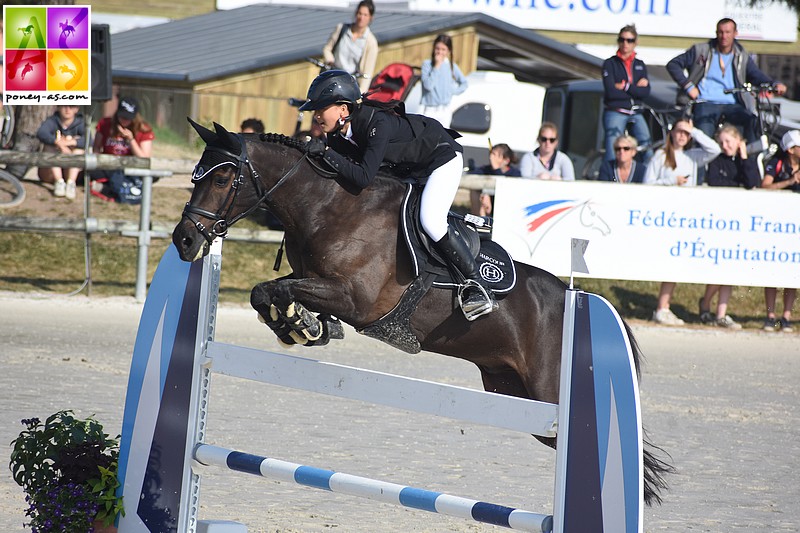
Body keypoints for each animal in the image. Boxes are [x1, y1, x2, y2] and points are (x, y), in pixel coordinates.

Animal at [172, 120, 672, 502]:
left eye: (221, 179)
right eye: (195, 176)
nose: (184, 240)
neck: (326, 205)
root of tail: (580, 301)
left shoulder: (356, 299)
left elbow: (274, 289)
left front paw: (299, 322)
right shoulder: (316, 282)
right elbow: (268, 292)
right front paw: (303, 326)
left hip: (548, 395)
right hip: (514, 392)